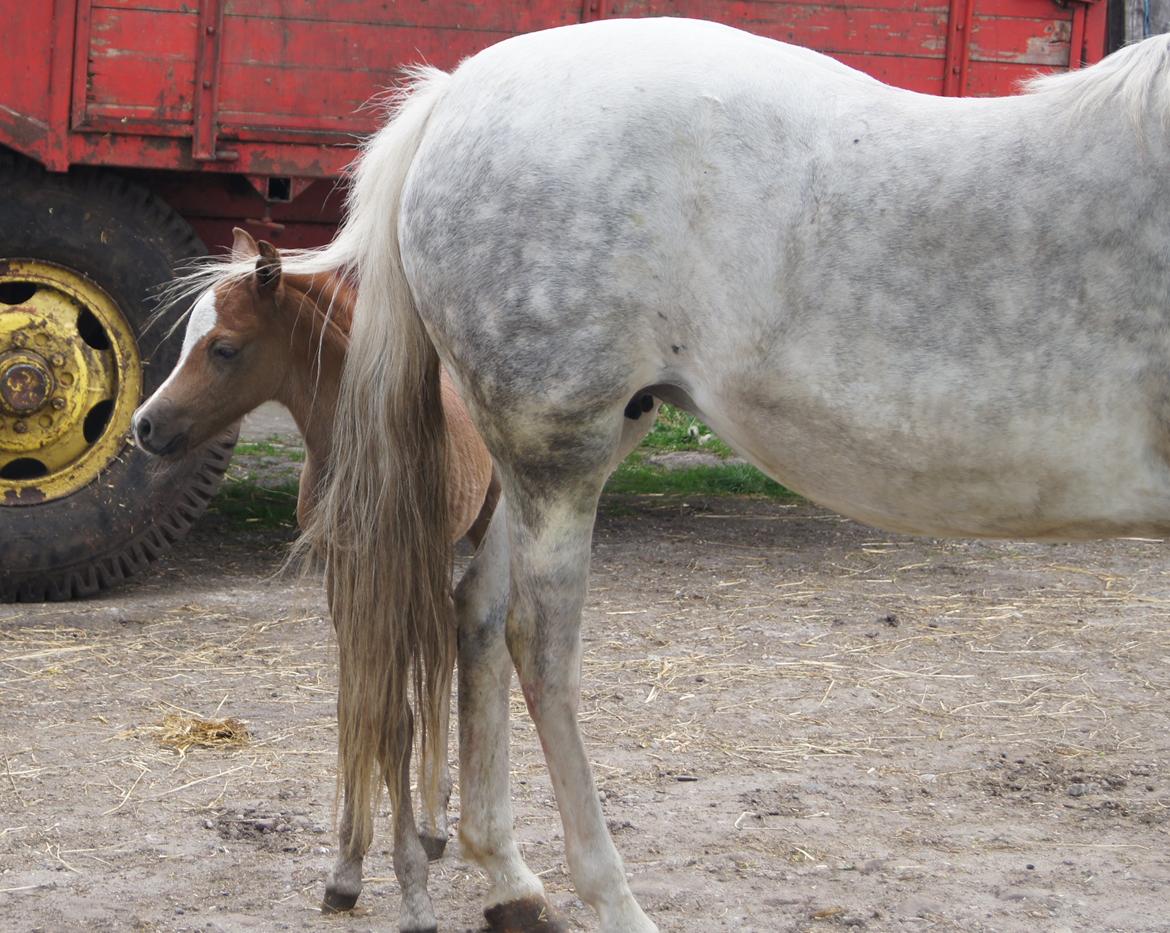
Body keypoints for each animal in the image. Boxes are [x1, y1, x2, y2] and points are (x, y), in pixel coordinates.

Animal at [132, 230, 498, 922]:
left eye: (224, 348)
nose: (145, 425)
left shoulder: (389, 573)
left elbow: (393, 719)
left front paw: (411, 889)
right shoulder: (345, 574)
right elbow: (360, 707)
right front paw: (347, 870)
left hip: (474, 532)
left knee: (455, 656)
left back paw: (445, 826)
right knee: (440, 651)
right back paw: (434, 821)